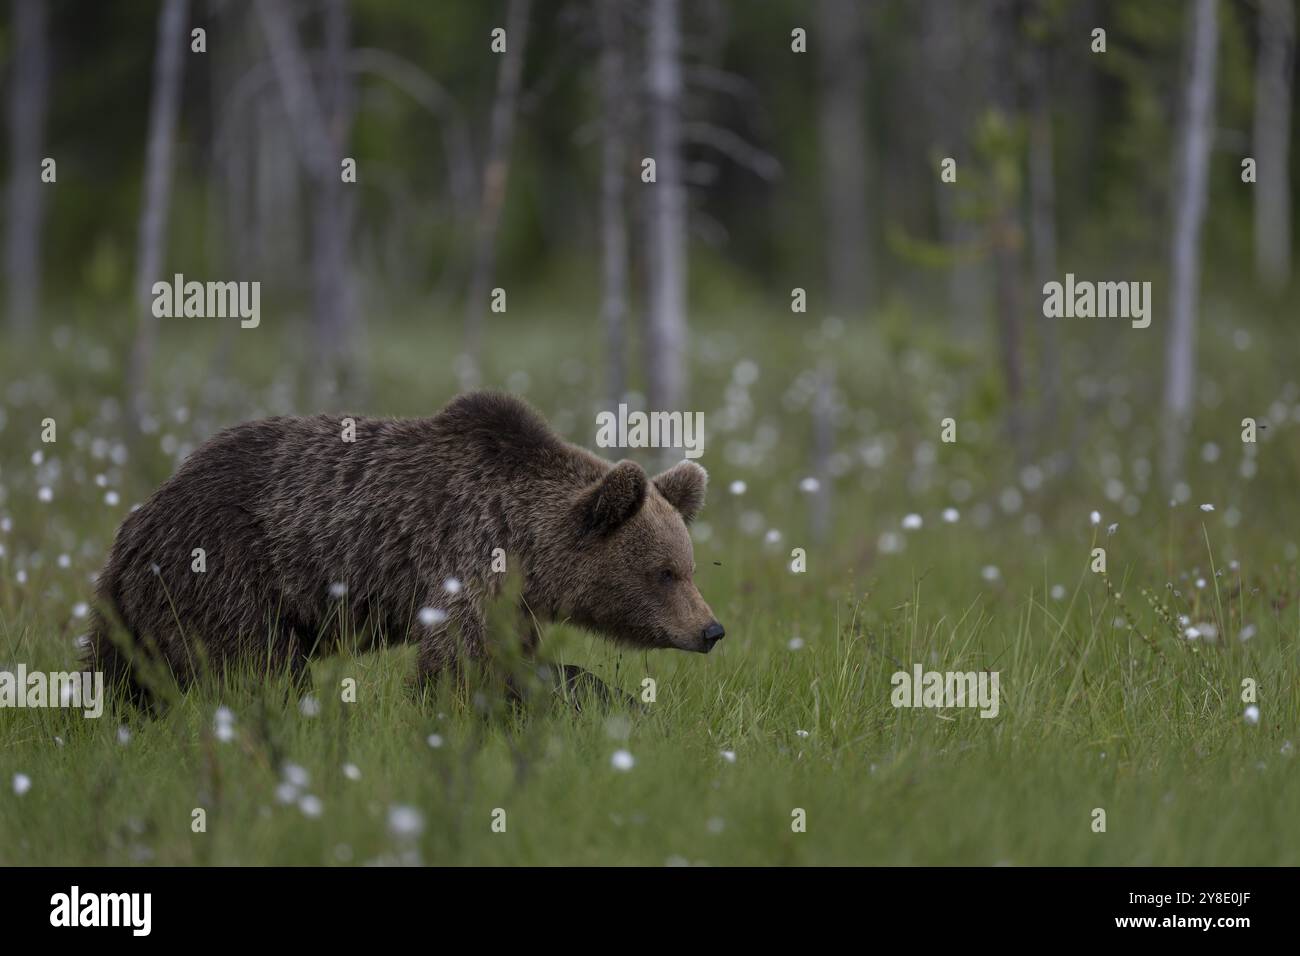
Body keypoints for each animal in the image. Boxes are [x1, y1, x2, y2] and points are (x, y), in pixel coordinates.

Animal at [86, 392, 728, 707]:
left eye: (690, 568)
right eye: (665, 572)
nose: (711, 629)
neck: (526, 545)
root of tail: (139, 519)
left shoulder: (513, 599)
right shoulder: (467, 560)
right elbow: (461, 665)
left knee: (125, 673)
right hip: (224, 566)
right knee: (257, 665)